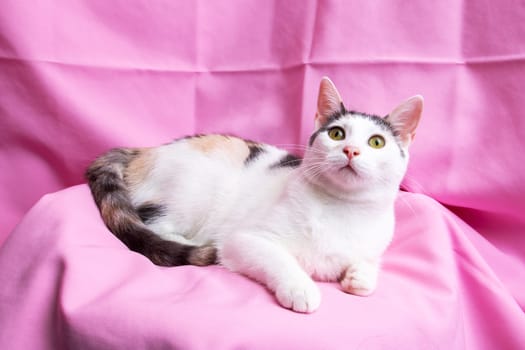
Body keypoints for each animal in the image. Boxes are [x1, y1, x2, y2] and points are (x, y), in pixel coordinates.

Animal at [87, 78, 422, 314]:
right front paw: (301, 288)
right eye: (337, 133)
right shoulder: (244, 240)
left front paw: (361, 276)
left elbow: (368, 264)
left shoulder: (374, 244)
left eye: (376, 142)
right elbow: (277, 258)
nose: (351, 150)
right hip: (191, 189)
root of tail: (144, 150)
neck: (343, 208)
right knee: (152, 223)